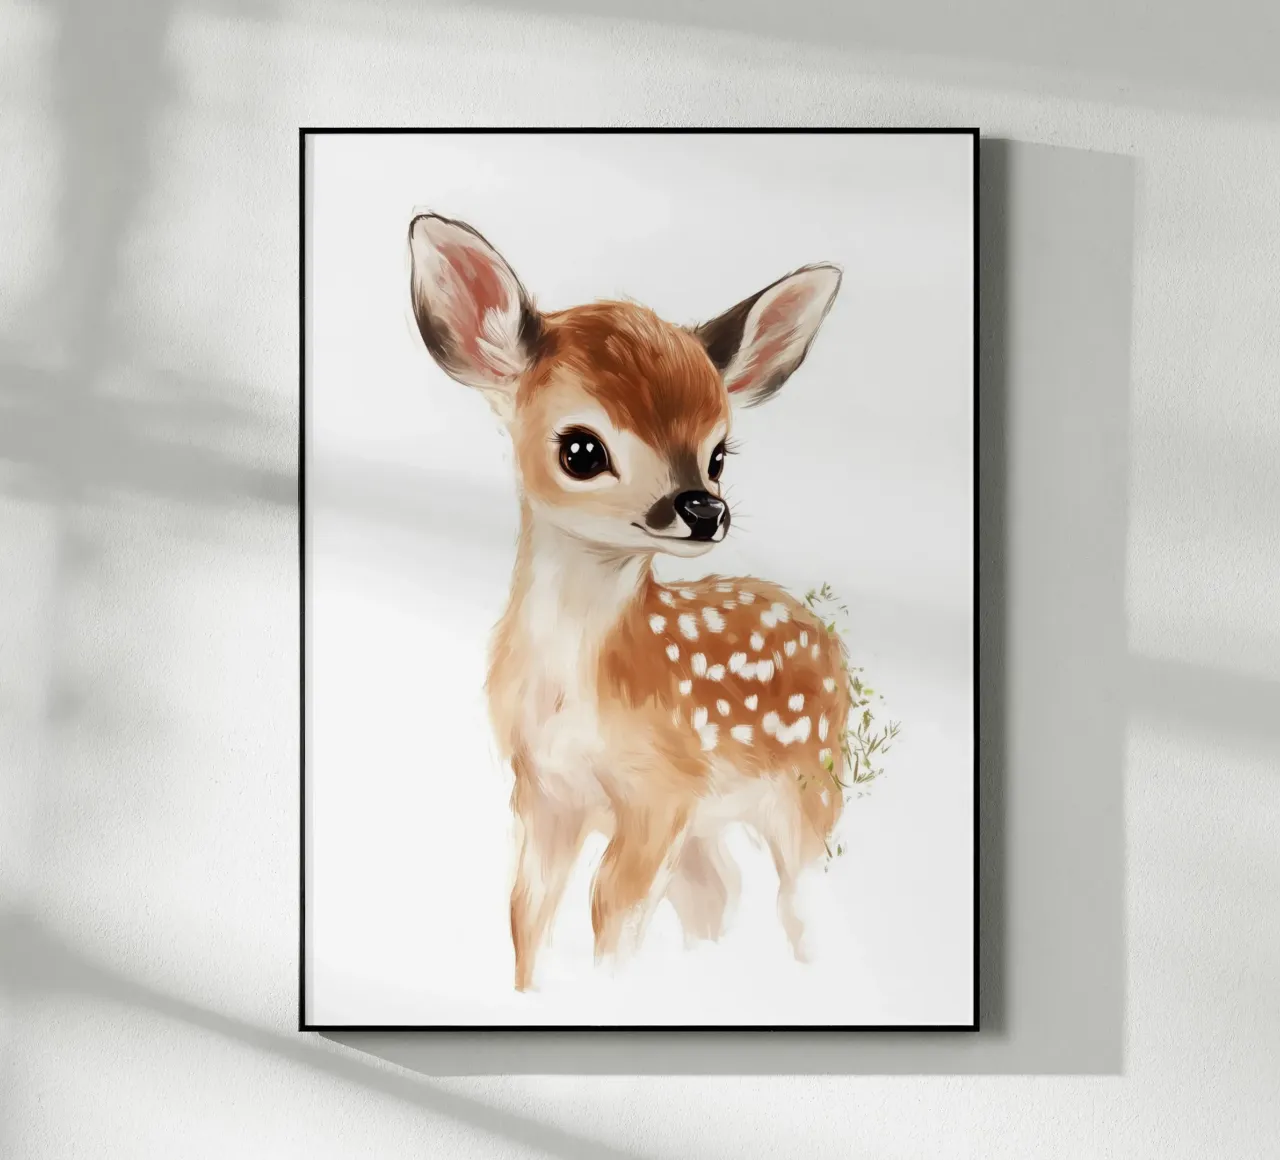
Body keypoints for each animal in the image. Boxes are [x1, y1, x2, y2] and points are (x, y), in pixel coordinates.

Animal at [408, 212, 852, 991]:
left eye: (719, 454)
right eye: (582, 450)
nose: (704, 509)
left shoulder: (660, 792)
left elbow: (609, 917)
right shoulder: (543, 791)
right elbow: (526, 915)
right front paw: (530, 994)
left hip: (810, 787)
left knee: (800, 903)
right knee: (720, 892)